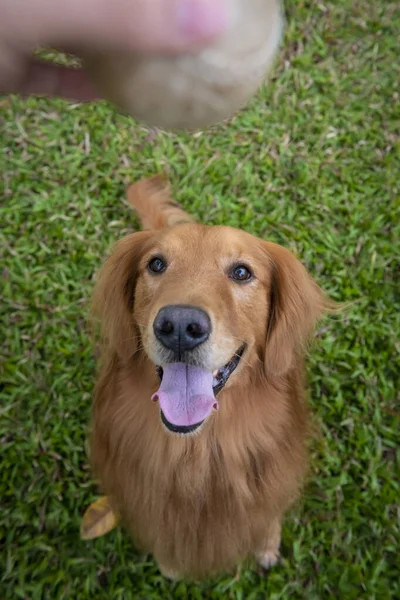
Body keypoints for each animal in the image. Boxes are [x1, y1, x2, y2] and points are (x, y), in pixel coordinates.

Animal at [90, 176, 332, 580]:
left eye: (241, 272)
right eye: (156, 264)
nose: (179, 327)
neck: (200, 450)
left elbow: (267, 517)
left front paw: (267, 545)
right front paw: (171, 563)